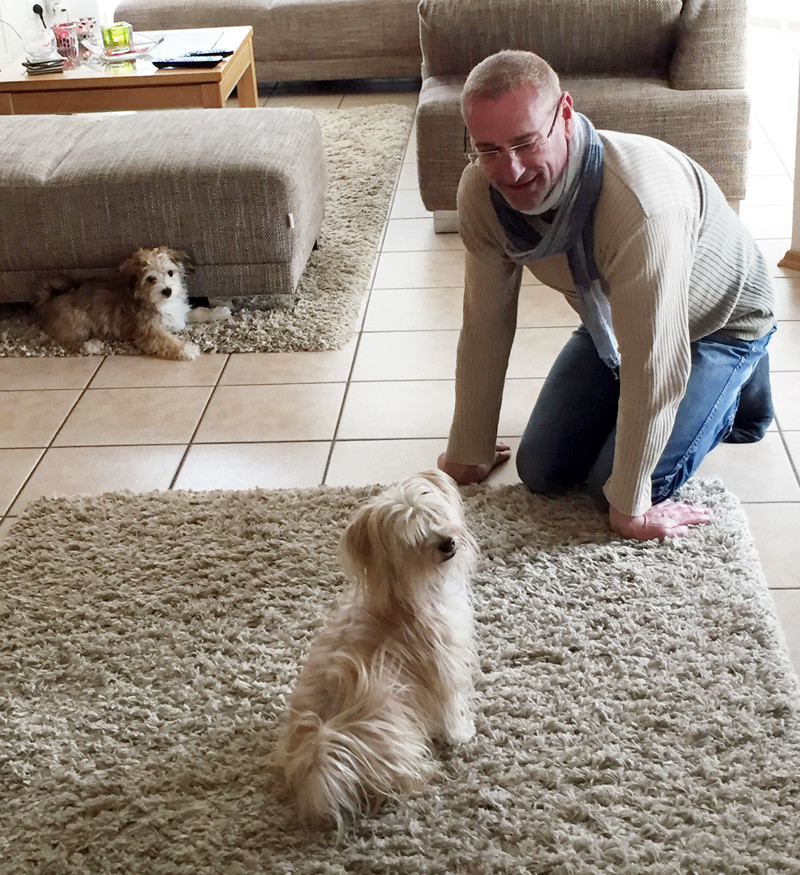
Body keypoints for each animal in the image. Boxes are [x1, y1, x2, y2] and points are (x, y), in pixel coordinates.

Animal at [33, 246, 230, 360]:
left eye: (170, 273)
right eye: (151, 279)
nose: (167, 290)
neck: (158, 302)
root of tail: (50, 297)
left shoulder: (178, 311)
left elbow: (196, 312)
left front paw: (220, 311)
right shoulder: (149, 331)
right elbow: (168, 340)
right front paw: (188, 349)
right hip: (76, 321)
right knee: (67, 342)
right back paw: (91, 345)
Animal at [276, 468, 478, 832]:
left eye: (434, 514)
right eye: (412, 537)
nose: (447, 542)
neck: (403, 597)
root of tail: (320, 765)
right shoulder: (445, 666)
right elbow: (450, 710)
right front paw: (462, 734)